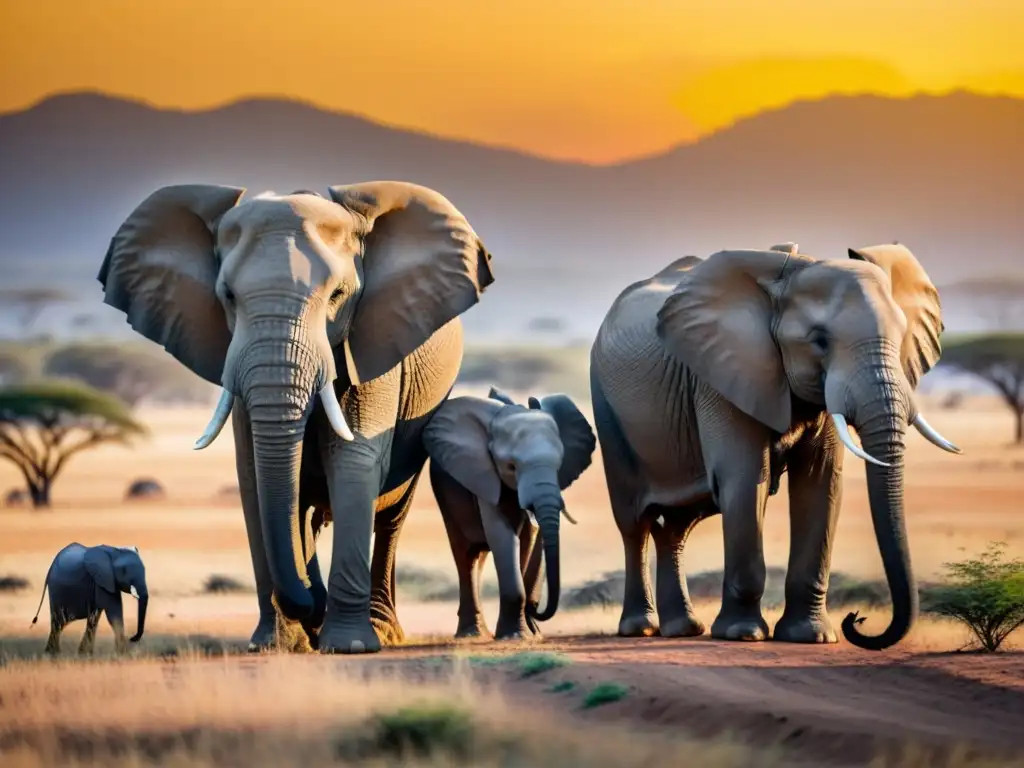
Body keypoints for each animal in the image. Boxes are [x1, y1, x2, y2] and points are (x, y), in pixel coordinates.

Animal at [99, 182, 495, 655]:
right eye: (228, 297)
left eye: (338, 296)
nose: (312, 606)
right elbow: (253, 475)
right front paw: (273, 644)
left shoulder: (373, 344)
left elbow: (353, 461)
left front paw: (348, 645)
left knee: (390, 516)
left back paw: (381, 631)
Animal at [423, 387, 598, 638]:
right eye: (511, 467)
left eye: (559, 464)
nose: (536, 608)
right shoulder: (484, 475)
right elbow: (503, 535)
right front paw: (515, 636)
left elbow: (530, 538)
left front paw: (528, 633)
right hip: (445, 494)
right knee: (465, 555)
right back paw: (472, 634)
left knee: (479, 557)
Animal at [589, 244, 962, 651]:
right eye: (820, 341)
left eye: (901, 334)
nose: (857, 619)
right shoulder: (723, 376)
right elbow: (745, 478)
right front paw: (742, 634)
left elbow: (821, 483)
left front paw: (811, 637)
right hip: (605, 405)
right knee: (633, 523)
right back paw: (640, 628)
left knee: (676, 525)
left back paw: (683, 629)